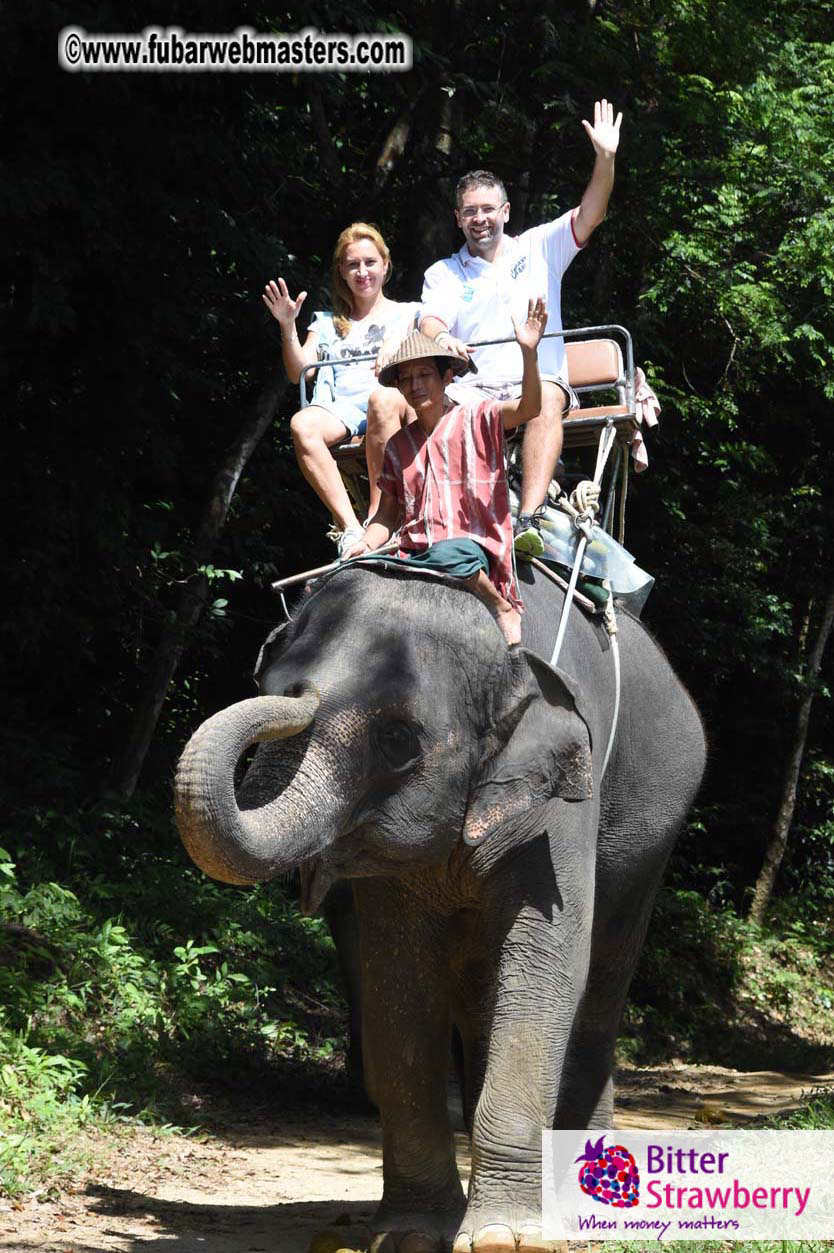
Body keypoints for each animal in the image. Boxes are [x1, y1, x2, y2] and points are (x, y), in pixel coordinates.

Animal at [174, 559, 706, 1253]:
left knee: (601, 992)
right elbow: (398, 983)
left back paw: (586, 1203)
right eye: (269, 681)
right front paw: (411, 1235)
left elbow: (547, 969)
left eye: (399, 739)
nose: (289, 694)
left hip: (652, 842)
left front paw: (505, 1238)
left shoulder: (563, 802)